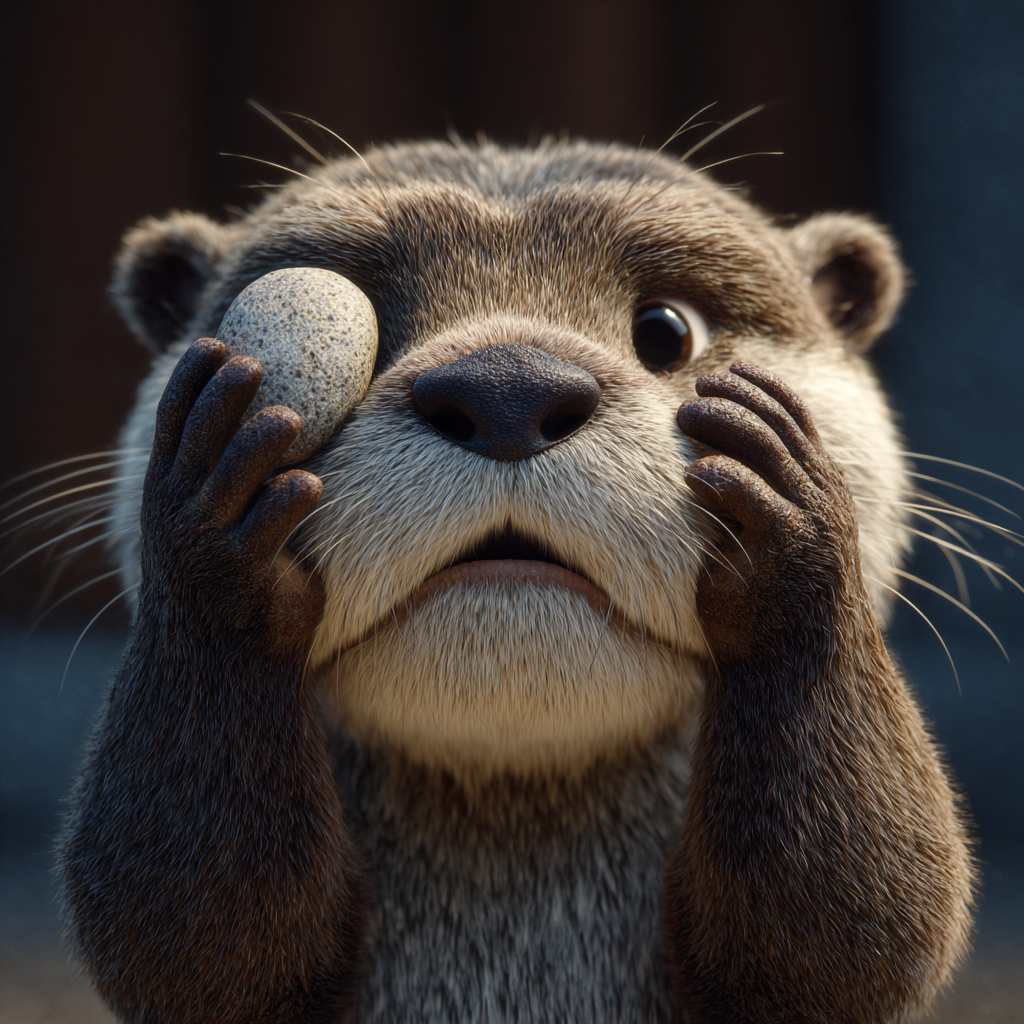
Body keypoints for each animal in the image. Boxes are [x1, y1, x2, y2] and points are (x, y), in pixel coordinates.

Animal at [57, 139, 975, 1024]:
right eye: (371, 318)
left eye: (668, 332)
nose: (507, 388)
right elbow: (186, 937)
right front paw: (215, 499)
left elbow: (861, 929)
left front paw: (786, 493)